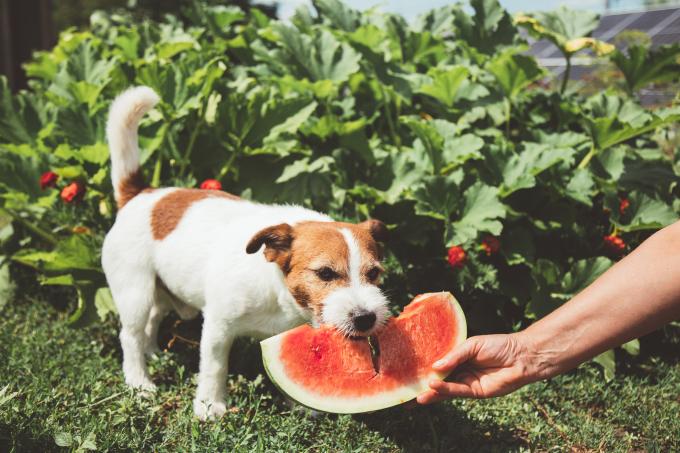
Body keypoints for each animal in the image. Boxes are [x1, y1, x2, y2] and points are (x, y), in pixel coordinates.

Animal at [100, 86, 388, 418]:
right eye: (325, 273)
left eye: (374, 273)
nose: (366, 318)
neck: (276, 289)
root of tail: (139, 194)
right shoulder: (218, 327)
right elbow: (214, 368)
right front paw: (210, 405)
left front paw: (301, 404)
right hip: (136, 291)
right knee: (130, 334)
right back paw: (139, 381)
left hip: (161, 289)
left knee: (152, 322)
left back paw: (153, 354)